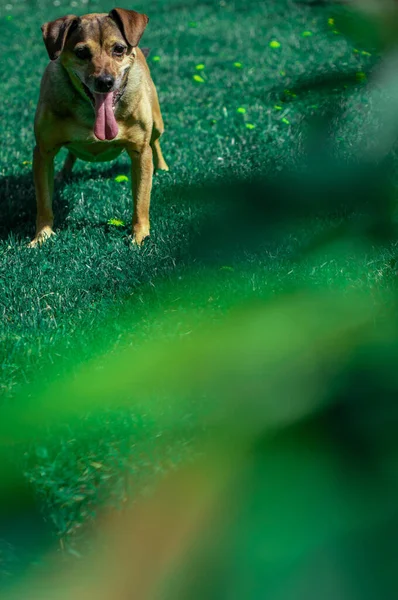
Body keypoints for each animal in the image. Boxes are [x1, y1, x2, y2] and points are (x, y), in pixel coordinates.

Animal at [30, 7, 168, 246]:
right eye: (81, 52)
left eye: (119, 49)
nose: (105, 81)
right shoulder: (43, 152)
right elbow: (44, 200)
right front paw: (42, 236)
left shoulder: (140, 152)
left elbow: (141, 199)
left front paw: (139, 236)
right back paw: (63, 173)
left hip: (156, 121)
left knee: (156, 140)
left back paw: (163, 168)